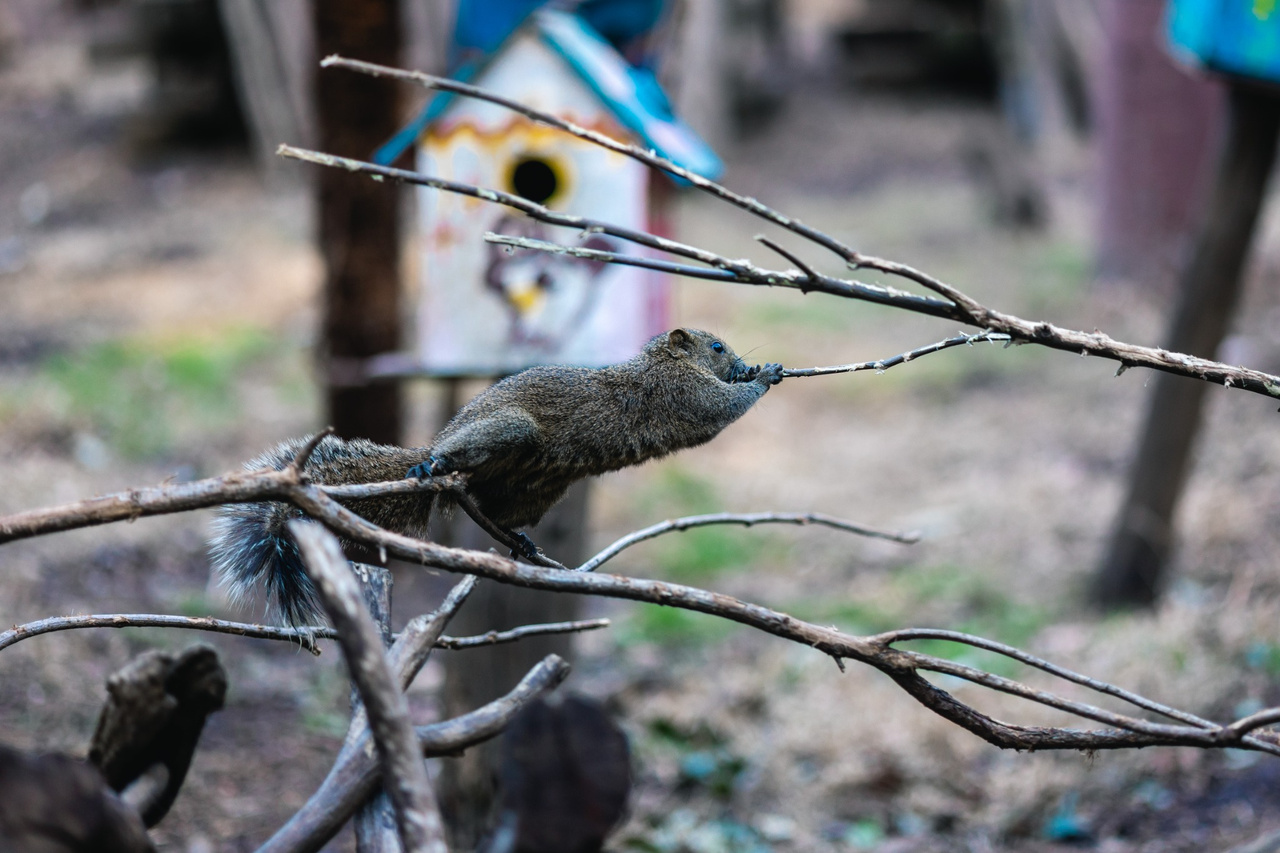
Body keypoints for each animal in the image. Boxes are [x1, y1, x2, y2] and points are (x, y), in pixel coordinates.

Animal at [210, 328, 783, 625]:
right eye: (715, 348)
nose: (743, 363)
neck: (662, 360)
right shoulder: (685, 394)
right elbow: (721, 409)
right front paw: (765, 377)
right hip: (509, 430)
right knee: (456, 461)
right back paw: (434, 466)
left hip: (533, 493)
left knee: (489, 510)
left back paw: (520, 544)